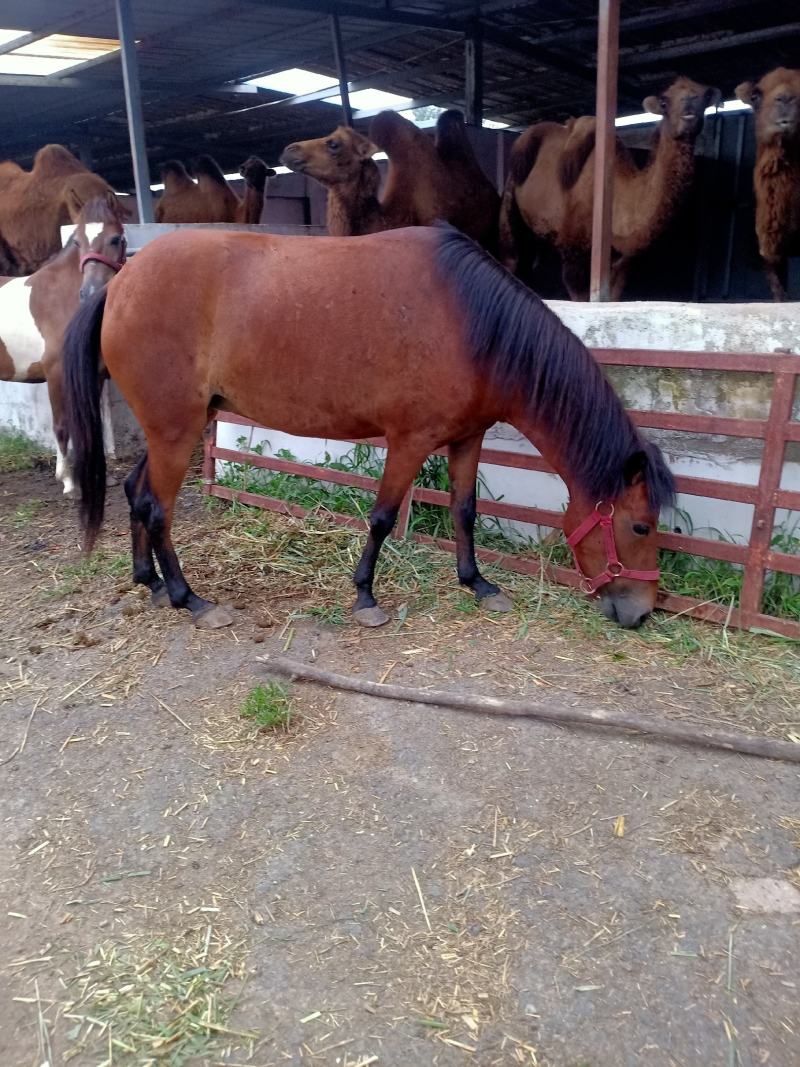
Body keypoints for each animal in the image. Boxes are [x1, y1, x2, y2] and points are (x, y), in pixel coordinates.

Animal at [0, 195, 127, 493]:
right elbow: (61, 426)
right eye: (77, 241)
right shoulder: (56, 374)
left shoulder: (93, 373)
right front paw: (69, 481)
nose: (90, 292)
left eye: (116, 238)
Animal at [62, 225, 675, 630]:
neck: (473, 322)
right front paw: (365, 597)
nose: (641, 613)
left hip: (178, 426)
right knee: (157, 508)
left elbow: (465, 511)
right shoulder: (409, 440)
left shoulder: (466, 438)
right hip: (177, 430)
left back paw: (149, 581)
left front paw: (477, 583)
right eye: (640, 527)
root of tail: (120, 284)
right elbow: (381, 518)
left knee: (136, 492)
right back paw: (189, 599)